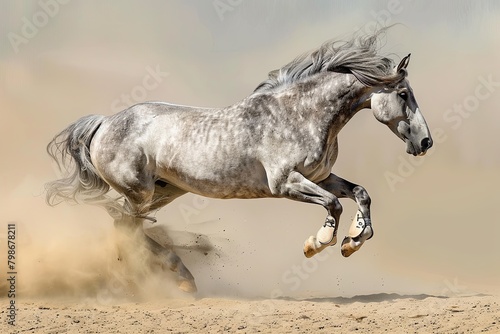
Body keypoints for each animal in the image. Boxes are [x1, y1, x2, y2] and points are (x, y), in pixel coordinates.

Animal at [45, 31, 432, 292]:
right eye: (403, 94)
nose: (425, 142)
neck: (301, 115)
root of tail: (104, 122)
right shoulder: (285, 183)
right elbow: (334, 205)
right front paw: (317, 243)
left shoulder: (321, 176)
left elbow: (361, 194)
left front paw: (353, 241)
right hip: (139, 192)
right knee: (125, 226)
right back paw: (169, 276)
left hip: (165, 191)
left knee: (126, 226)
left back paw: (179, 277)